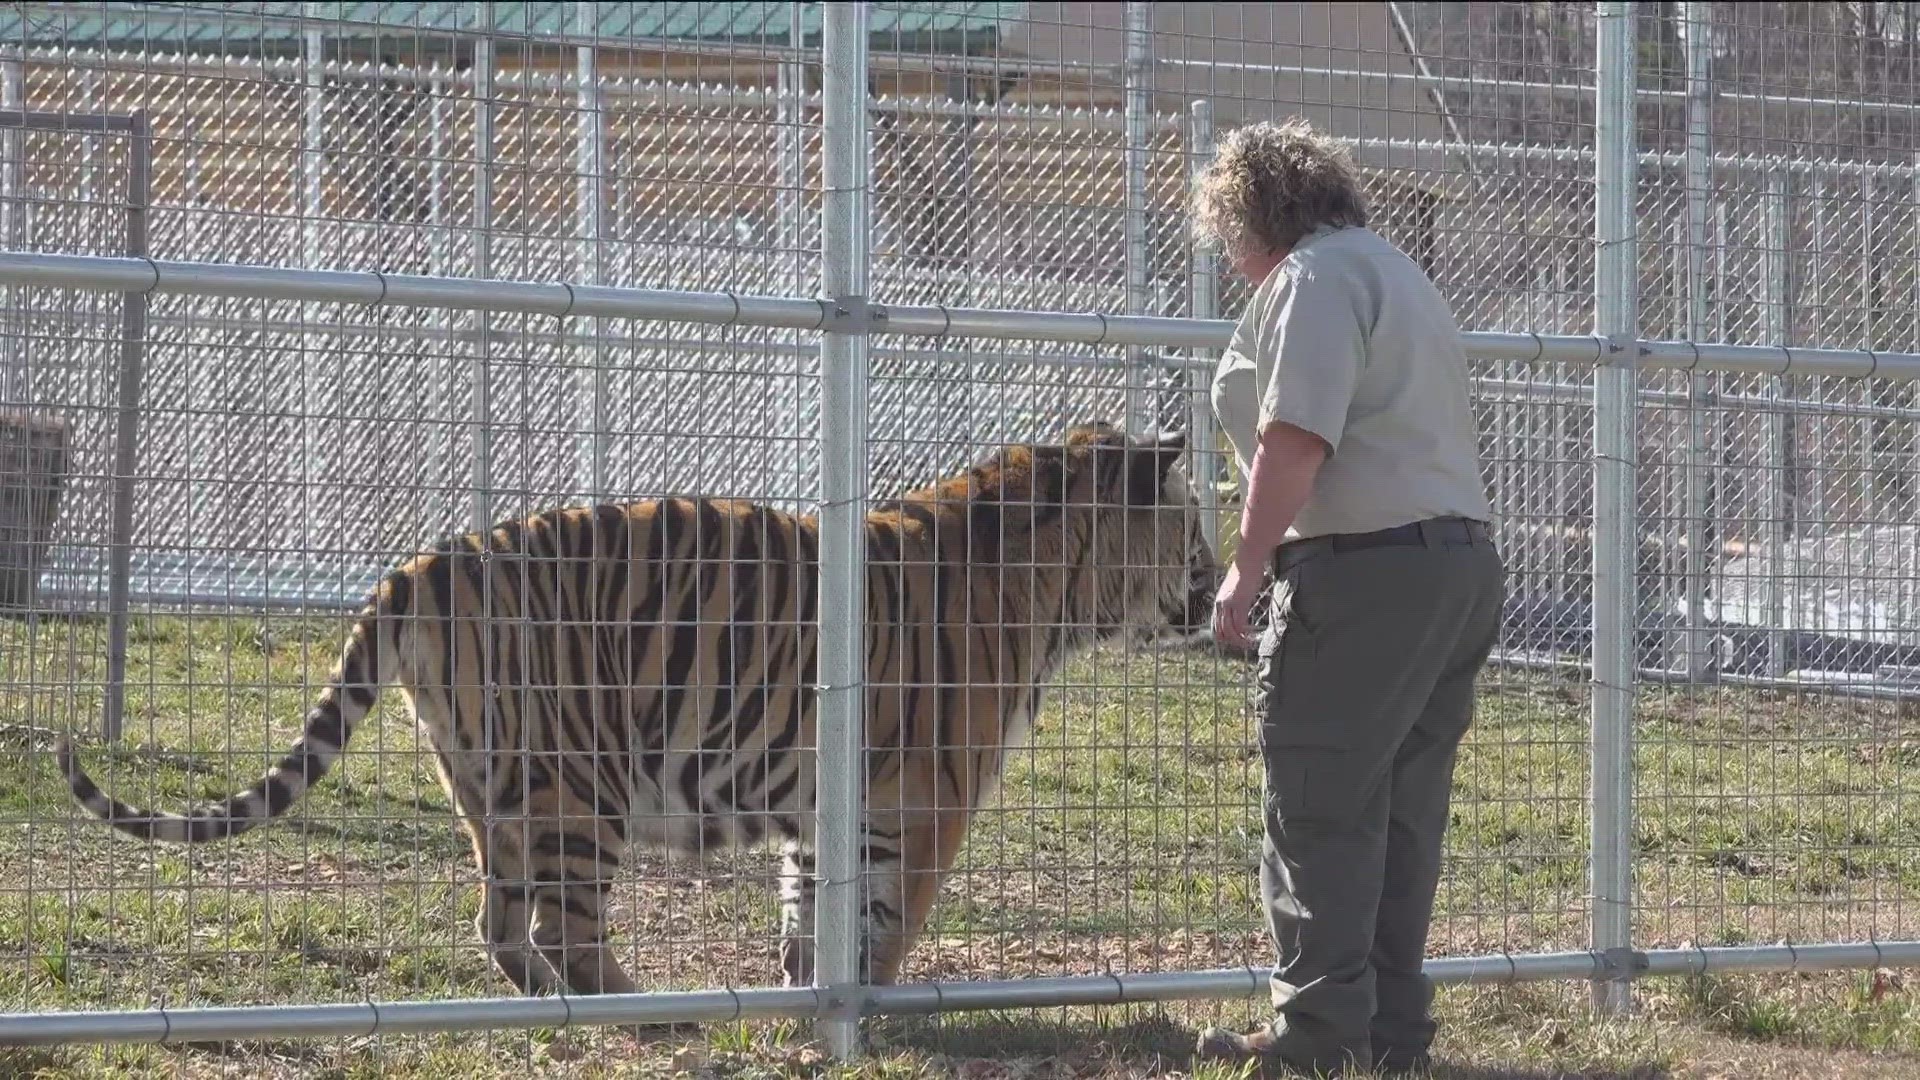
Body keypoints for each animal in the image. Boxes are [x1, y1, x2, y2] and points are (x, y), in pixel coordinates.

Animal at [63, 420, 1228, 999]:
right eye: (1192, 531)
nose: (1224, 586)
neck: (1054, 588)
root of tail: (428, 561)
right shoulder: (922, 802)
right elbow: (886, 921)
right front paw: (880, 1008)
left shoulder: (831, 803)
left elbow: (815, 912)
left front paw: (804, 990)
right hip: (582, 778)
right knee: (564, 927)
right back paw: (638, 1006)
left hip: (482, 781)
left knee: (498, 921)